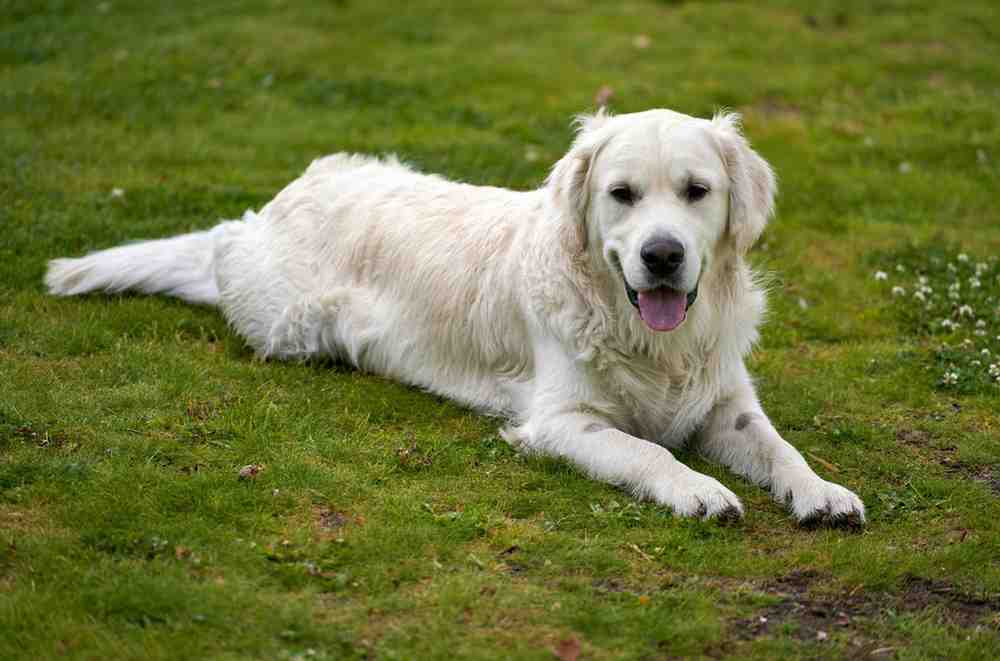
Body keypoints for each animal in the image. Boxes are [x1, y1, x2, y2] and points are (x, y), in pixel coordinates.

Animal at [43, 111, 864, 528]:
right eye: (622, 194)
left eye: (697, 190)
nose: (662, 256)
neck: (650, 339)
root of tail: (283, 197)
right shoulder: (561, 422)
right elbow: (648, 452)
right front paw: (698, 489)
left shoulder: (724, 403)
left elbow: (781, 448)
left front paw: (822, 492)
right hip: (284, 321)